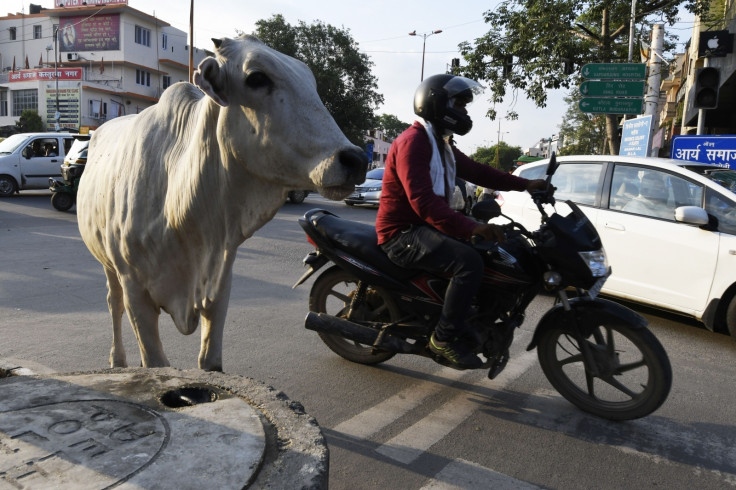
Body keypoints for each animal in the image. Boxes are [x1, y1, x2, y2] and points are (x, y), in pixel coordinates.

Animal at [75, 34, 368, 372]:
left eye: (311, 81)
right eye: (256, 77)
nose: (355, 159)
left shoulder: (220, 284)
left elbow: (210, 362)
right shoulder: (136, 291)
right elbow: (155, 360)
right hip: (109, 265)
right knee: (113, 304)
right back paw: (117, 359)